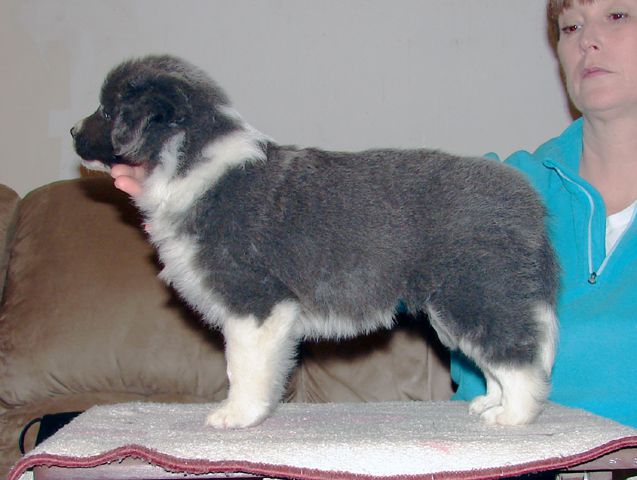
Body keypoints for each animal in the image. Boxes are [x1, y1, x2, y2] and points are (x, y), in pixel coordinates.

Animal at [71, 55, 556, 428]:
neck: (190, 161)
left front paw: (236, 416)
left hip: (473, 291)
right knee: (498, 354)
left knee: (517, 355)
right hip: (468, 297)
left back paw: (513, 415)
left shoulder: (254, 302)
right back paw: (491, 402)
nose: (73, 132)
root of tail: (527, 200)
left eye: (107, 110)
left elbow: (242, 367)